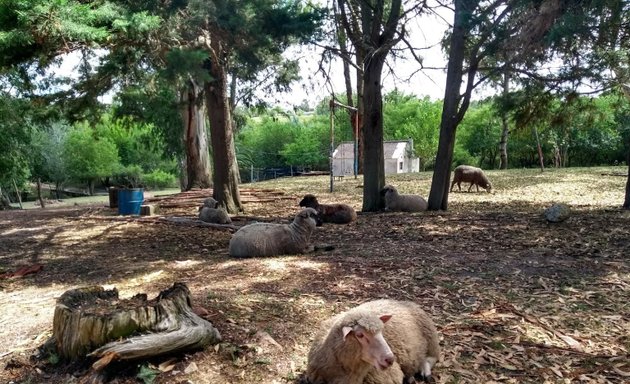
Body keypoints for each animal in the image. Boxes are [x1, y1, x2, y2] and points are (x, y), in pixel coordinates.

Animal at [306, 300, 440, 384]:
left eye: (382, 330)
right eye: (360, 335)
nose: (390, 359)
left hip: (431, 339)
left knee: (430, 359)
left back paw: (425, 373)